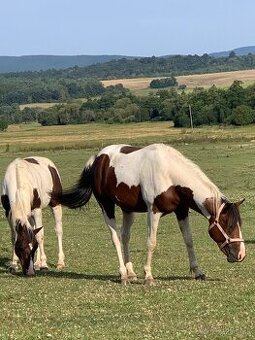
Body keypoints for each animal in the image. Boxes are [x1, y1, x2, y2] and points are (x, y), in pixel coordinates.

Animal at [52, 143, 246, 284]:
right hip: (106, 206)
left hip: (127, 210)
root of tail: (98, 159)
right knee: (116, 239)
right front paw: (148, 276)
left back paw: (131, 272)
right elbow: (151, 242)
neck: (169, 174)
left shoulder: (182, 211)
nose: (241, 255)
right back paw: (123, 274)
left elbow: (188, 240)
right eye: (229, 226)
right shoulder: (154, 212)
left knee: (125, 236)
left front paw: (198, 271)